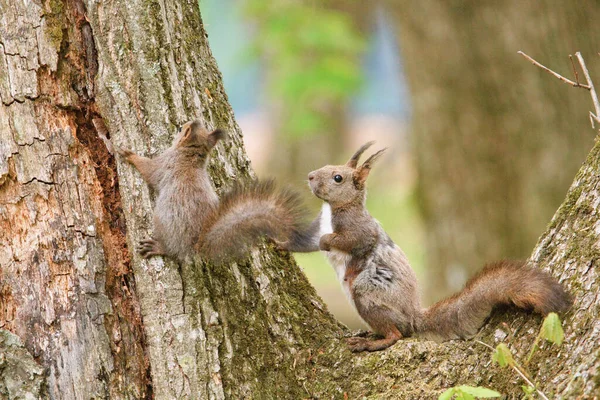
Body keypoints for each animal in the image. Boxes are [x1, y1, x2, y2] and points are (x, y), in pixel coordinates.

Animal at [116, 119, 314, 262]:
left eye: (181, 128)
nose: (180, 124)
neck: (190, 156)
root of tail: (196, 244)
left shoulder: (164, 164)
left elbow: (147, 169)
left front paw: (130, 155)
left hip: (164, 221)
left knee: (173, 251)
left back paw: (158, 247)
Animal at [298, 142, 568, 352]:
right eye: (328, 166)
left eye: (338, 178)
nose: (309, 176)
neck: (337, 208)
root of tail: (413, 318)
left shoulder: (359, 229)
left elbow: (353, 241)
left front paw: (325, 242)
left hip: (367, 294)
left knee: (397, 334)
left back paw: (372, 342)